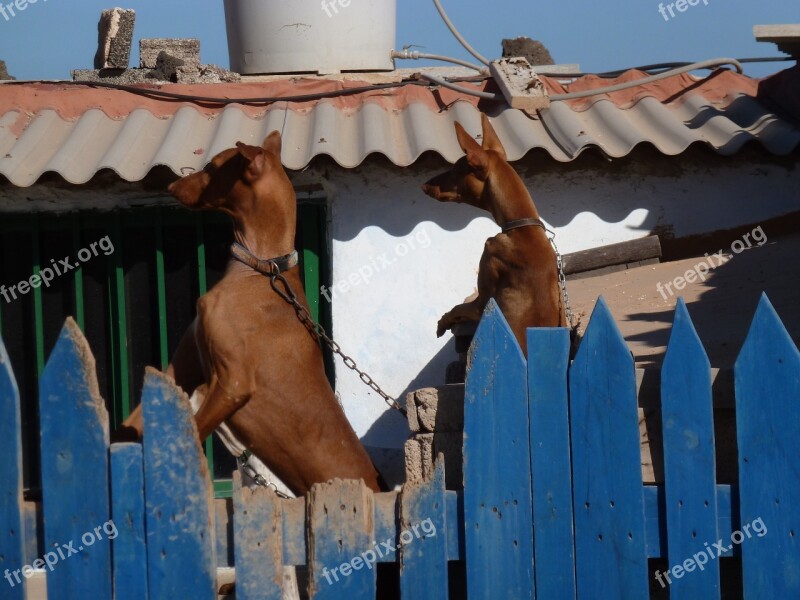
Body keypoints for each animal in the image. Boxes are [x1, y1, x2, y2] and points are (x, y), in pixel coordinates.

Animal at [117, 134, 382, 494]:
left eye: (212, 166)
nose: (170, 184)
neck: (260, 268)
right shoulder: (179, 373)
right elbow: (128, 426)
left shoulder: (233, 383)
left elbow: (194, 434)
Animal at [422, 114, 564, 354]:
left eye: (454, 170)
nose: (423, 186)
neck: (522, 228)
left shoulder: (482, 303)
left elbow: (457, 307)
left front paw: (442, 322)